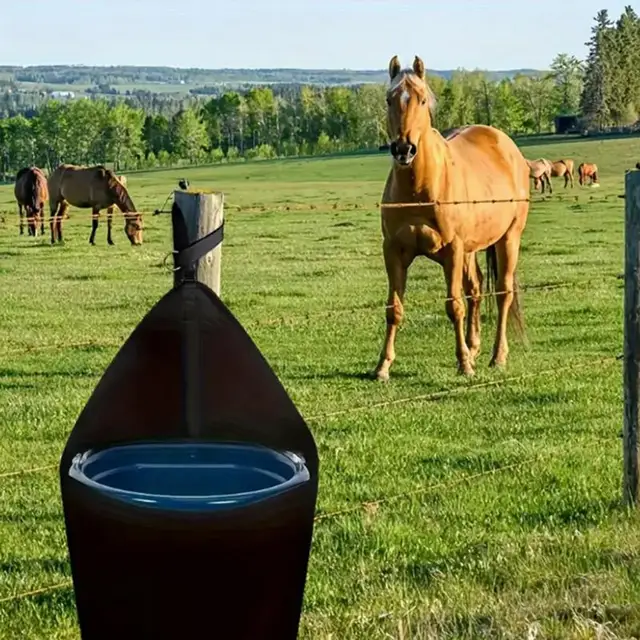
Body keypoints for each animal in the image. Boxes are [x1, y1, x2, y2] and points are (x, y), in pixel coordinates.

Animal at [374, 55, 530, 381]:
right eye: (389, 99)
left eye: (421, 99)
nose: (404, 149)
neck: (419, 187)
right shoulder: (393, 250)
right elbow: (394, 308)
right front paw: (383, 366)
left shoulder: (453, 250)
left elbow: (454, 305)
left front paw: (463, 363)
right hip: (471, 250)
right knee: (476, 290)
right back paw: (475, 347)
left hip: (509, 238)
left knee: (502, 292)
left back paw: (497, 356)